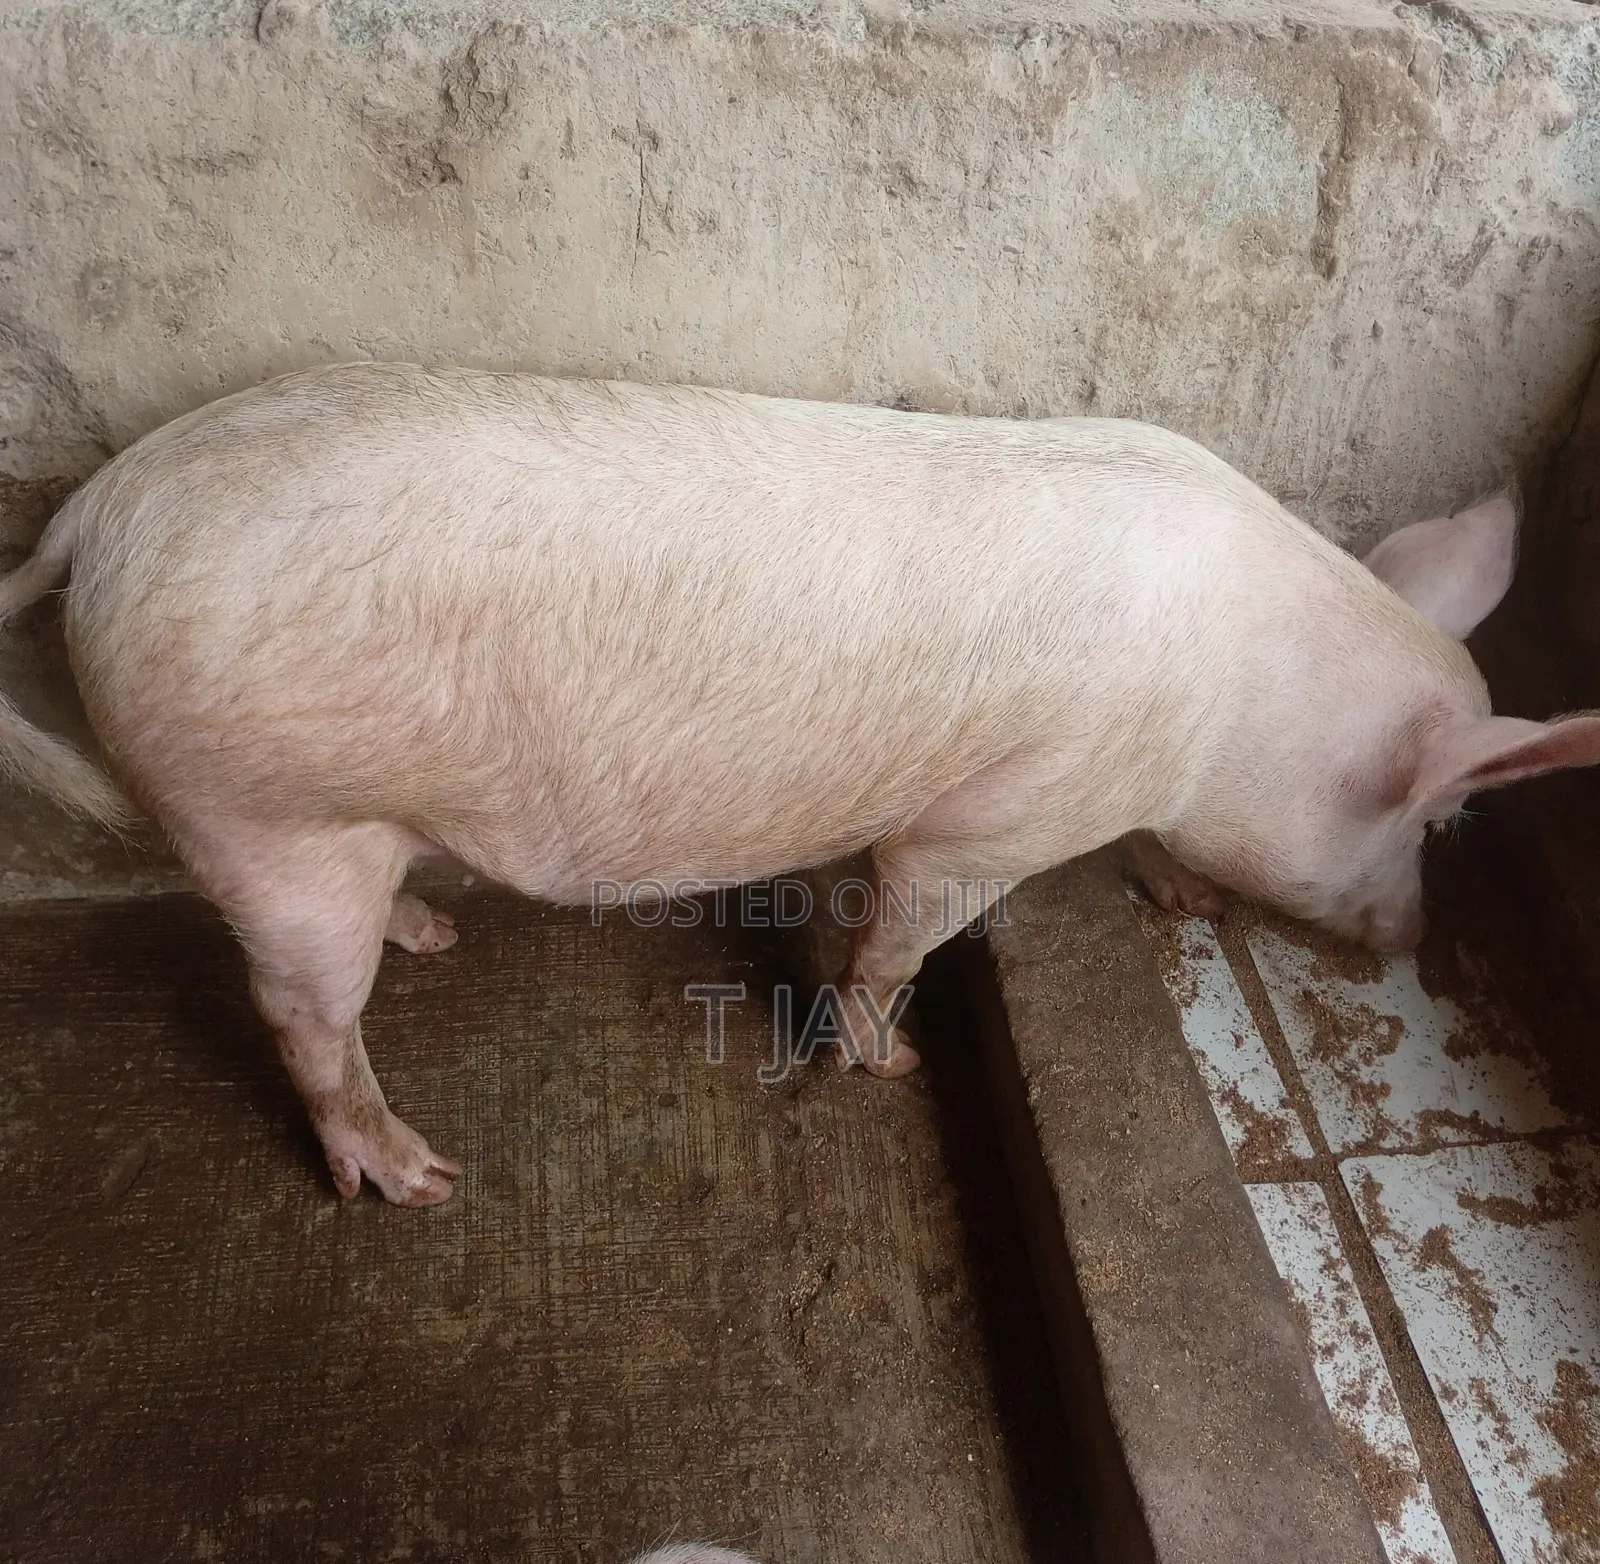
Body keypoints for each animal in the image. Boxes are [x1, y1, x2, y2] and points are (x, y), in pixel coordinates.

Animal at [2, 362, 1597, 1206]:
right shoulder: (996, 821)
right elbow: (902, 929)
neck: (1244, 700)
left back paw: (434, 936)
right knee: (296, 1013)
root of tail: (102, 513)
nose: (1412, 939)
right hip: (258, 811)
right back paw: (420, 1177)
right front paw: (889, 1069)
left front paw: (1182, 896)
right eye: (1442, 815)